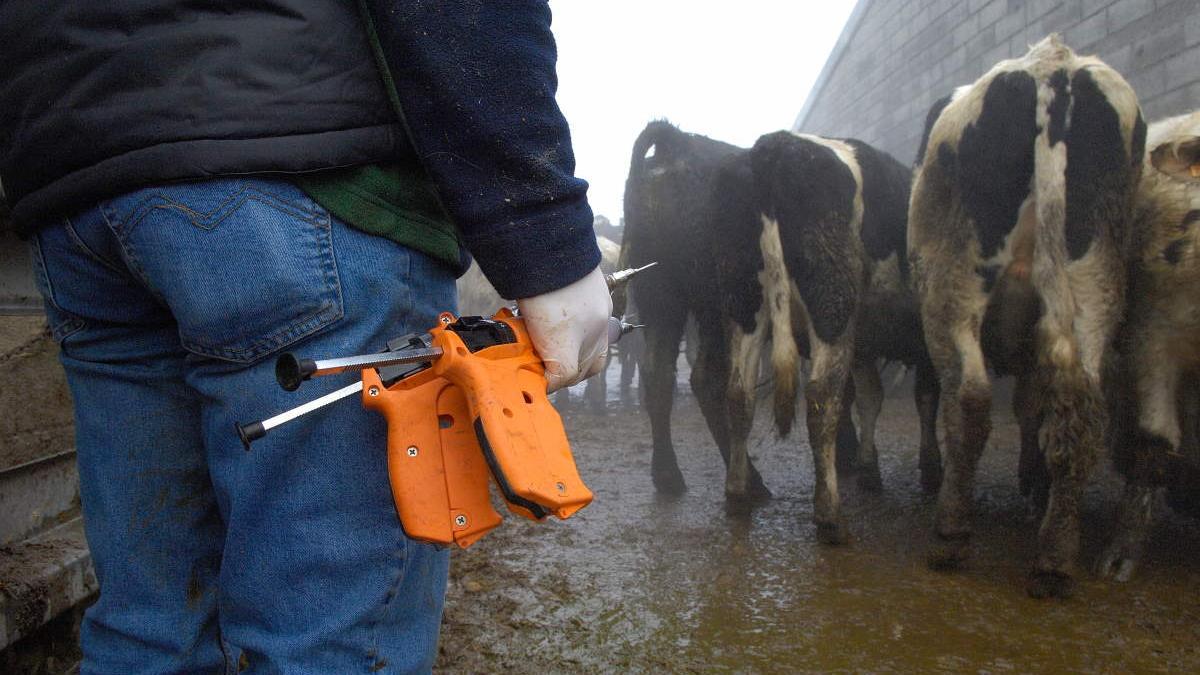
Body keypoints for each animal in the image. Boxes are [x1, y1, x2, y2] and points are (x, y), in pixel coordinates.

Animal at [705, 130, 940, 540]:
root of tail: (776, 144)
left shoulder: (863, 345)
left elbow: (870, 397)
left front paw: (869, 470)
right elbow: (925, 398)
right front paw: (930, 469)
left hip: (743, 307)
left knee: (739, 395)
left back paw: (737, 495)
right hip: (833, 305)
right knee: (821, 400)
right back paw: (829, 515)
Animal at [907, 34, 1142, 595]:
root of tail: (1051, 64)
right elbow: (1034, 405)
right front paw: (1032, 480)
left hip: (953, 282)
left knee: (969, 398)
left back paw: (952, 533)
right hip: (1095, 282)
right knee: (1080, 404)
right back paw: (1055, 554)